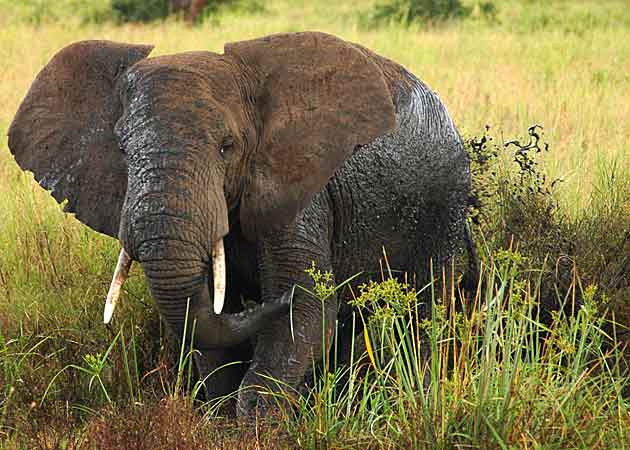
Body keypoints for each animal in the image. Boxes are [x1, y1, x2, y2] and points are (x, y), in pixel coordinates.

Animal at [8, 32, 475, 416]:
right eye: (122, 150)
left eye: (227, 146)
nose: (270, 302)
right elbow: (209, 326)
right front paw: (218, 423)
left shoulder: (298, 189)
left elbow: (309, 307)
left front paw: (258, 428)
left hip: (445, 206)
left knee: (426, 310)